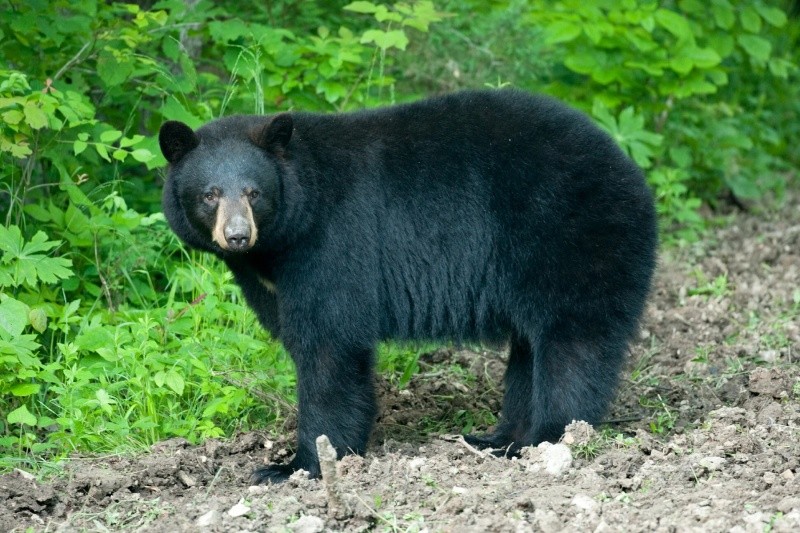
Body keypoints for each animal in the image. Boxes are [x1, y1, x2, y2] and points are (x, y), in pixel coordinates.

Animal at [161, 90, 656, 482]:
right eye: (209, 194)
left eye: (253, 192)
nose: (238, 235)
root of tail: (630, 169)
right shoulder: (272, 279)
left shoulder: (332, 245)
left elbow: (329, 346)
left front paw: (297, 465)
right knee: (529, 349)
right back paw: (500, 440)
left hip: (572, 238)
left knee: (573, 344)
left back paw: (551, 438)